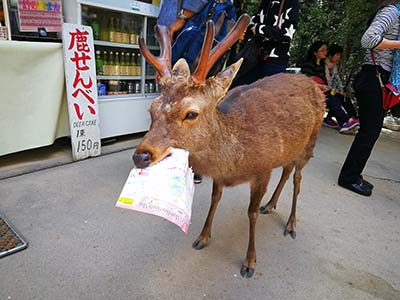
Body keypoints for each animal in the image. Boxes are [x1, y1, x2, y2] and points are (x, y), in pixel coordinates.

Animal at [131, 15, 324, 278]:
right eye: (151, 109)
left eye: (191, 113)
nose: (141, 155)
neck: (233, 160)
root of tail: (315, 84)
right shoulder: (221, 177)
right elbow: (215, 199)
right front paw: (202, 237)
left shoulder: (263, 169)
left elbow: (251, 213)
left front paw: (250, 262)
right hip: (291, 148)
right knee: (286, 171)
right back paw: (270, 205)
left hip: (310, 142)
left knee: (297, 178)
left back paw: (291, 224)